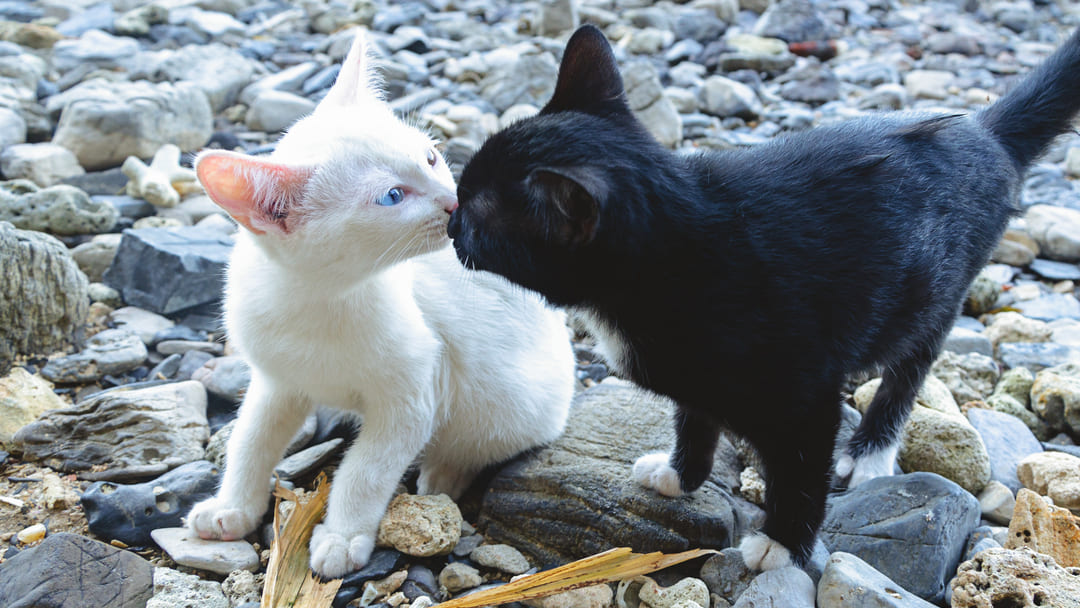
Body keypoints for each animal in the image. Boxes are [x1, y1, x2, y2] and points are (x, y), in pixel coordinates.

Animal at [187, 29, 574, 578]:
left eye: (430, 157)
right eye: (392, 196)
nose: (456, 203)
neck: (320, 297)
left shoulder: (412, 395)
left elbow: (366, 471)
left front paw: (342, 536)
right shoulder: (276, 380)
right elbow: (250, 439)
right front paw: (232, 507)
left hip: (513, 404)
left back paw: (444, 473)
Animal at [444, 22, 1080, 565]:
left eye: (475, 211)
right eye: (462, 187)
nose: (449, 214)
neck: (679, 256)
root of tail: (983, 132)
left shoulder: (805, 392)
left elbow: (799, 468)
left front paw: (783, 542)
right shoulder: (695, 373)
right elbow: (695, 415)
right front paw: (680, 475)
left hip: (933, 293)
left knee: (910, 367)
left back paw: (871, 450)